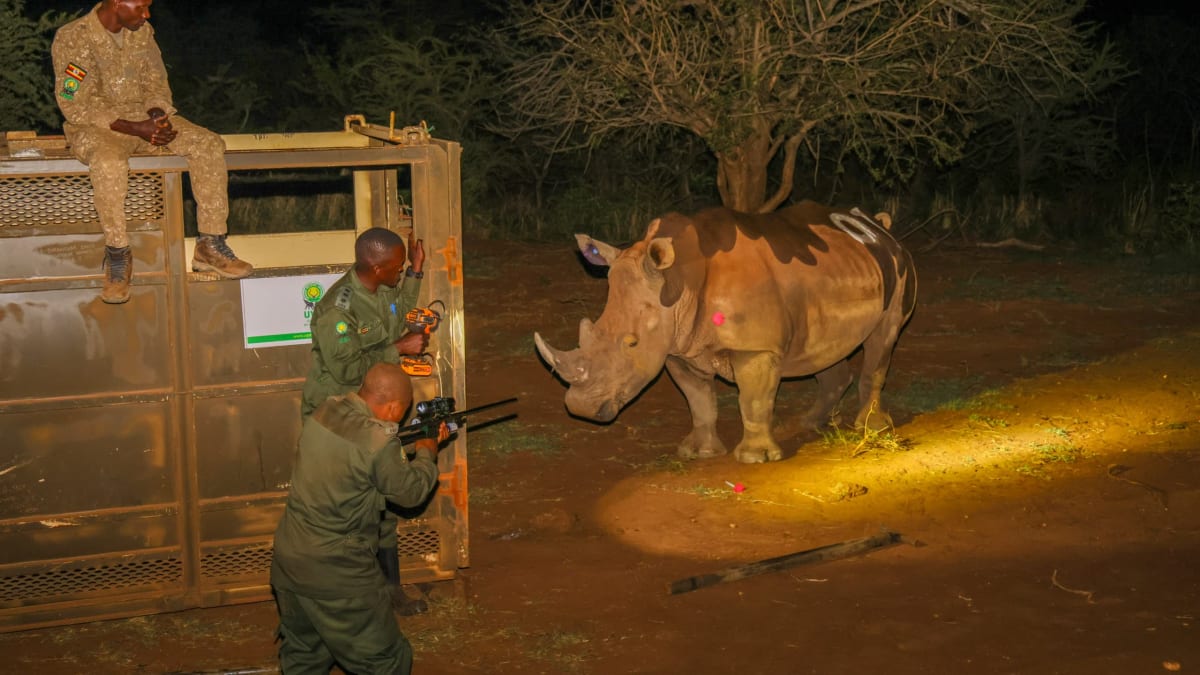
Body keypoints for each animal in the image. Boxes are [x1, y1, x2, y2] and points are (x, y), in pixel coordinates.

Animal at [534, 201, 917, 464]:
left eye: (632, 343)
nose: (581, 408)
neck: (678, 282)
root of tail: (878, 226)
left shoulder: (755, 346)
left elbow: (753, 399)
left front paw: (755, 458)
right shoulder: (678, 347)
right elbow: (699, 400)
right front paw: (698, 453)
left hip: (898, 272)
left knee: (882, 341)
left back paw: (871, 429)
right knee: (826, 349)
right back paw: (811, 423)